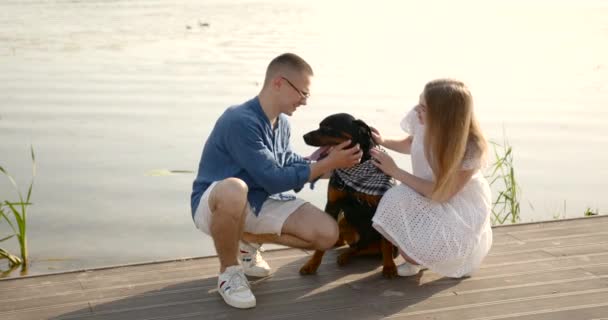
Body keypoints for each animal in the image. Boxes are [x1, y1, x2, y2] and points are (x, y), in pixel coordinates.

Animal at [300, 112, 400, 278]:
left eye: (328, 127)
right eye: (320, 125)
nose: (304, 136)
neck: (354, 168)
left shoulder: (382, 207)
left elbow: (386, 243)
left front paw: (389, 267)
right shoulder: (332, 205)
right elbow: (321, 245)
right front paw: (312, 264)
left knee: (366, 248)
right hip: (343, 221)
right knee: (353, 246)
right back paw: (343, 253)